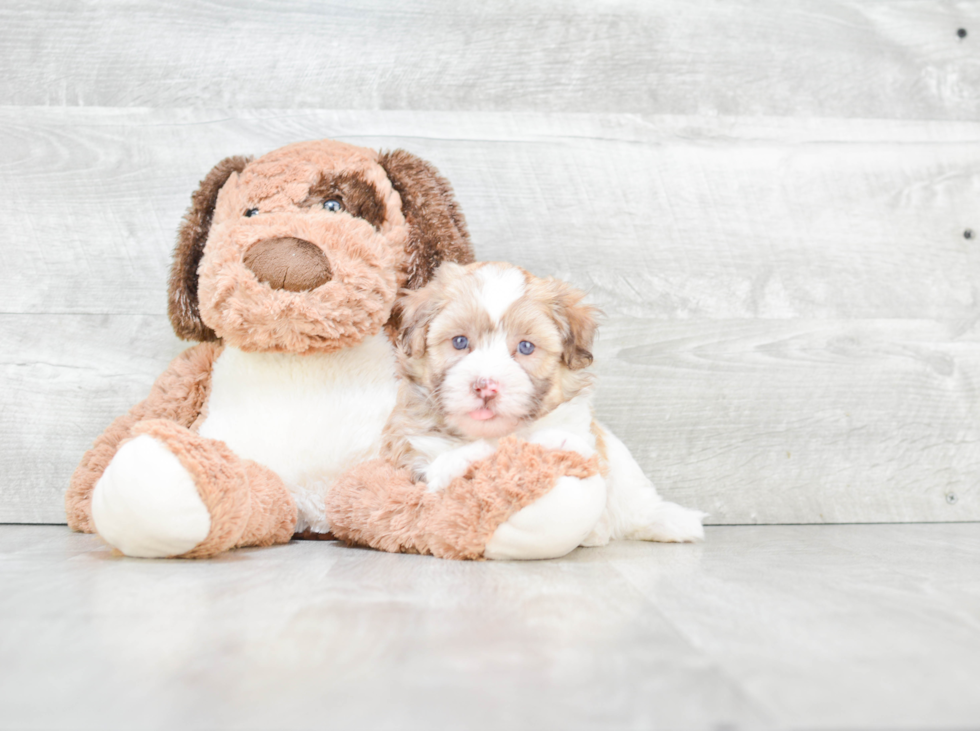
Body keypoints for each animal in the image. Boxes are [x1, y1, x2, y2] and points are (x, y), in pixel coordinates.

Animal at [380, 260, 704, 548]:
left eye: (526, 347)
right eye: (460, 342)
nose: (486, 386)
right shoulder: (411, 457)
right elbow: (440, 468)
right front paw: (472, 456)